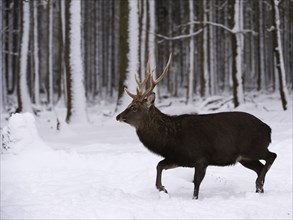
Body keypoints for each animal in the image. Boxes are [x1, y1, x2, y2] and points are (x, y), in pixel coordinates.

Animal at [114, 53, 276, 199]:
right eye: (130, 104)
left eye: (134, 107)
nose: (118, 116)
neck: (171, 139)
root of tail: (268, 129)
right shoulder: (179, 158)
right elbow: (159, 165)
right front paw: (163, 189)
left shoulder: (201, 157)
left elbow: (196, 183)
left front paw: (192, 199)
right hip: (244, 157)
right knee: (260, 167)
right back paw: (259, 189)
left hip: (254, 147)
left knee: (272, 156)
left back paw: (259, 184)